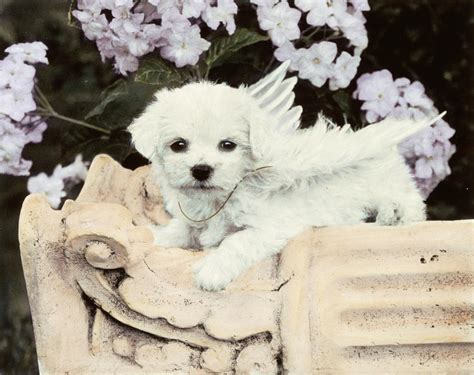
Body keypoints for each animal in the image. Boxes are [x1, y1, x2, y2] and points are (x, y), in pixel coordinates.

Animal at [129, 64, 440, 294]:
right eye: (178, 145)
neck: (223, 196)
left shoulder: (269, 227)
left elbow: (236, 242)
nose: (201, 170)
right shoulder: (195, 222)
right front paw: (152, 236)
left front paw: (212, 272)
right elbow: (178, 231)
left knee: (413, 205)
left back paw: (392, 214)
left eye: (228, 145)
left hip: (386, 185)